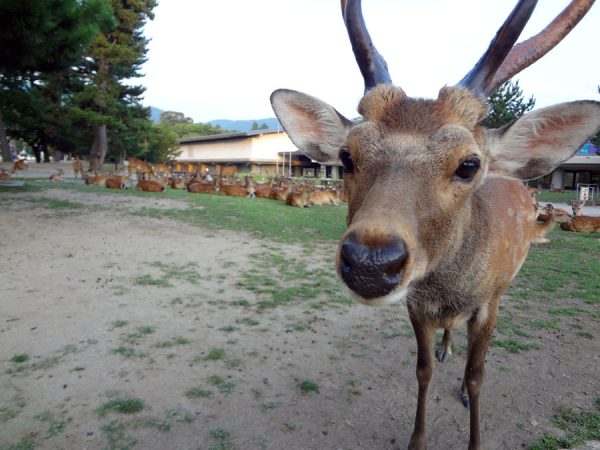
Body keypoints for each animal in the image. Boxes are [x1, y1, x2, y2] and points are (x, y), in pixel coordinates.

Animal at [272, 0, 600, 450]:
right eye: (347, 156)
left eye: (469, 164)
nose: (371, 263)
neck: (449, 289)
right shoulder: (416, 305)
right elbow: (422, 370)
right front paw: (417, 439)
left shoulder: (488, 301)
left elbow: (477, 376)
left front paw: (474, 434)